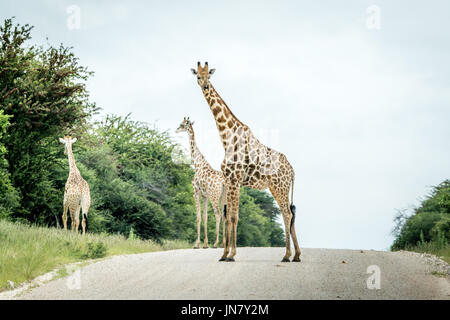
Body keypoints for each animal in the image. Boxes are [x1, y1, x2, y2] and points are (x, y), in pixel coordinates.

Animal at [175, 116, 225, 249]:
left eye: (182, 124)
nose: (176, 130)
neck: (197, 163)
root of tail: (224, 182)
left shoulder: (196, 192)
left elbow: (198, 217)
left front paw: (197, 244)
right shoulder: (204, 196)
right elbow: (205, 217)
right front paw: (205, 244)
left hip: (214, 196)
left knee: (218, 214)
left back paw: (216, 243)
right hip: (223, 197)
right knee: (225, 215)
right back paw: (223, 243)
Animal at [190, 62, 298, 262]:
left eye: (209, 76)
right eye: (198, 77)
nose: (206, 86)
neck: (227, 137)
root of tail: (292, 171)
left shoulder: (234, 180)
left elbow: (232, 217)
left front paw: (231, 254)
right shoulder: (232, 181)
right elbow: (231, 216)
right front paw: (224, 254)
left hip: (280, 187)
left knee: (287, 214)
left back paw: (287, 255)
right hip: (279, 188)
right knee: (289, 213)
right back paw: (297, 255)